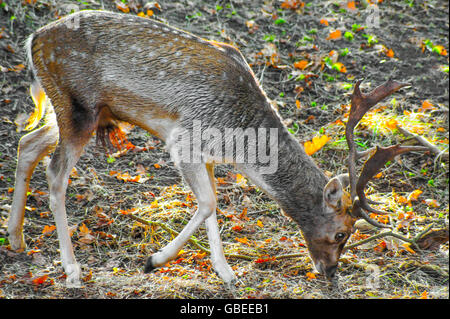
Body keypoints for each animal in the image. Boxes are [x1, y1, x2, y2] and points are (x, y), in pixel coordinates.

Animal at [7, 11, 426, 288]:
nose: (330, 271)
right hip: (77, 107)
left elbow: (215, 204)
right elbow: (208, 203)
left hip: (83, 113)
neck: (239, 143)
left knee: (28, 142)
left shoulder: (206, 155)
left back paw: (16, 238)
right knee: (55, 173)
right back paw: (71, 269)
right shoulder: (184, 139)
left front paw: (225, 271)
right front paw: (153, 260)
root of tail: (32, 40)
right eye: (341, 233)